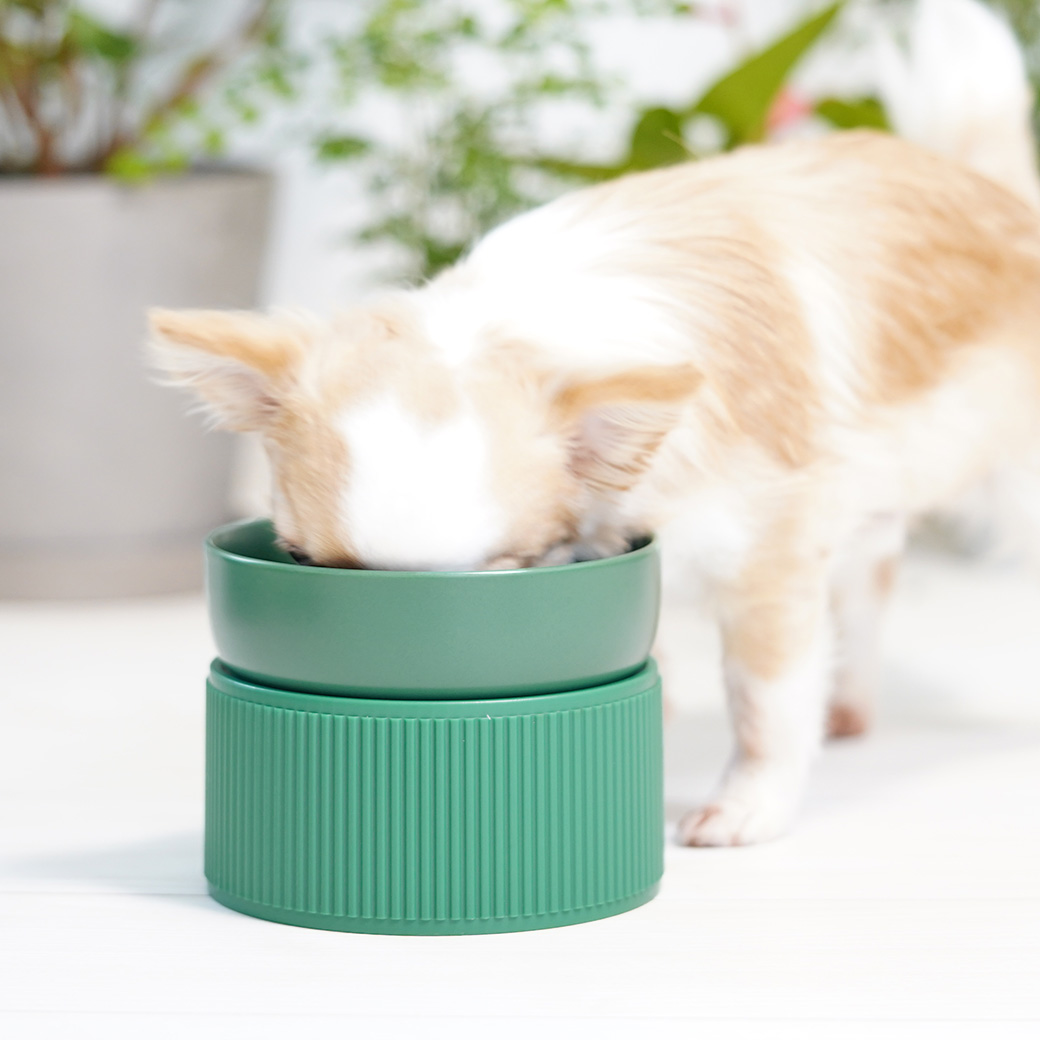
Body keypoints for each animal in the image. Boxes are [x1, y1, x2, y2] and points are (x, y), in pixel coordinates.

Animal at [151, 0, 1040, 846]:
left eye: (505, 573)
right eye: (302, 562)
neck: (526, 328)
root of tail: (996, 189)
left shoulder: (769, 555)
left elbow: (766, 700)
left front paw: (748, 808)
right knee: (871, 575)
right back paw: (851, 702)